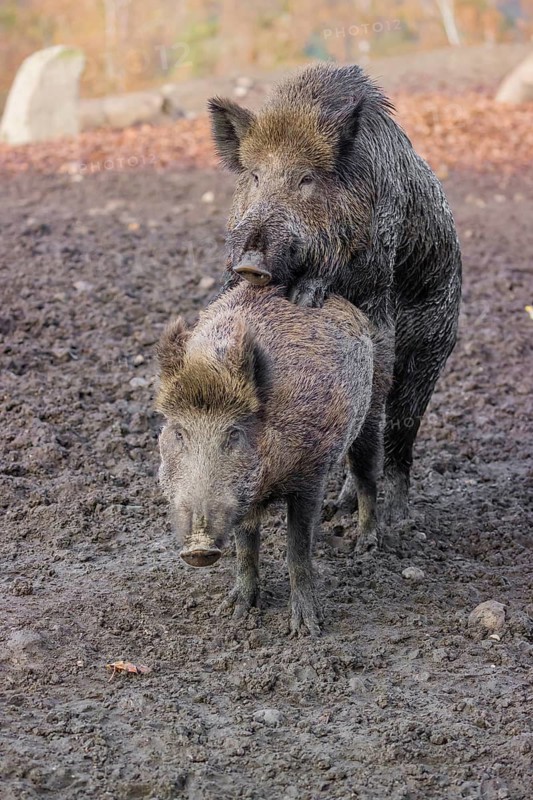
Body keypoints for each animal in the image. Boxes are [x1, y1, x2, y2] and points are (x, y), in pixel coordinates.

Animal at [156, 282, 391, 636]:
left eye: (234, 433)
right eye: (180, 433)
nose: (198, 547)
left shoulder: (311, 476)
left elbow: (297, 551)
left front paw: (307, 629)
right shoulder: (242, 497)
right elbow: (246, 548)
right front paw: (235, 614)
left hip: (374, 405)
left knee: (366, 475)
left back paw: (365, 547)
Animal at [208, 62, 461, 525]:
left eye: (306, 179)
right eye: (255, 176)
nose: (250, 264)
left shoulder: (378, 265)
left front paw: (307, 297)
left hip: (432, 348)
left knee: (400, 431)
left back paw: (396, 518)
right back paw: (335, 508)